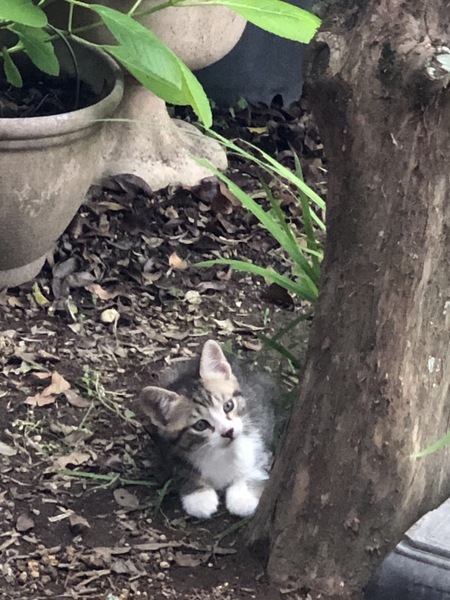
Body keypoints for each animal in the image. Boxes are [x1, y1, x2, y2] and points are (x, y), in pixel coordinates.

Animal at [139, 339, 275, 519]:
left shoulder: (261, 434)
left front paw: (243, 497)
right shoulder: (166, 448)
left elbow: (258, 465)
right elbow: (182, 469)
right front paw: (199, 497)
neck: (221, 452)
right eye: (200, 425)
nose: (228, 432)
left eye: (228, 406)